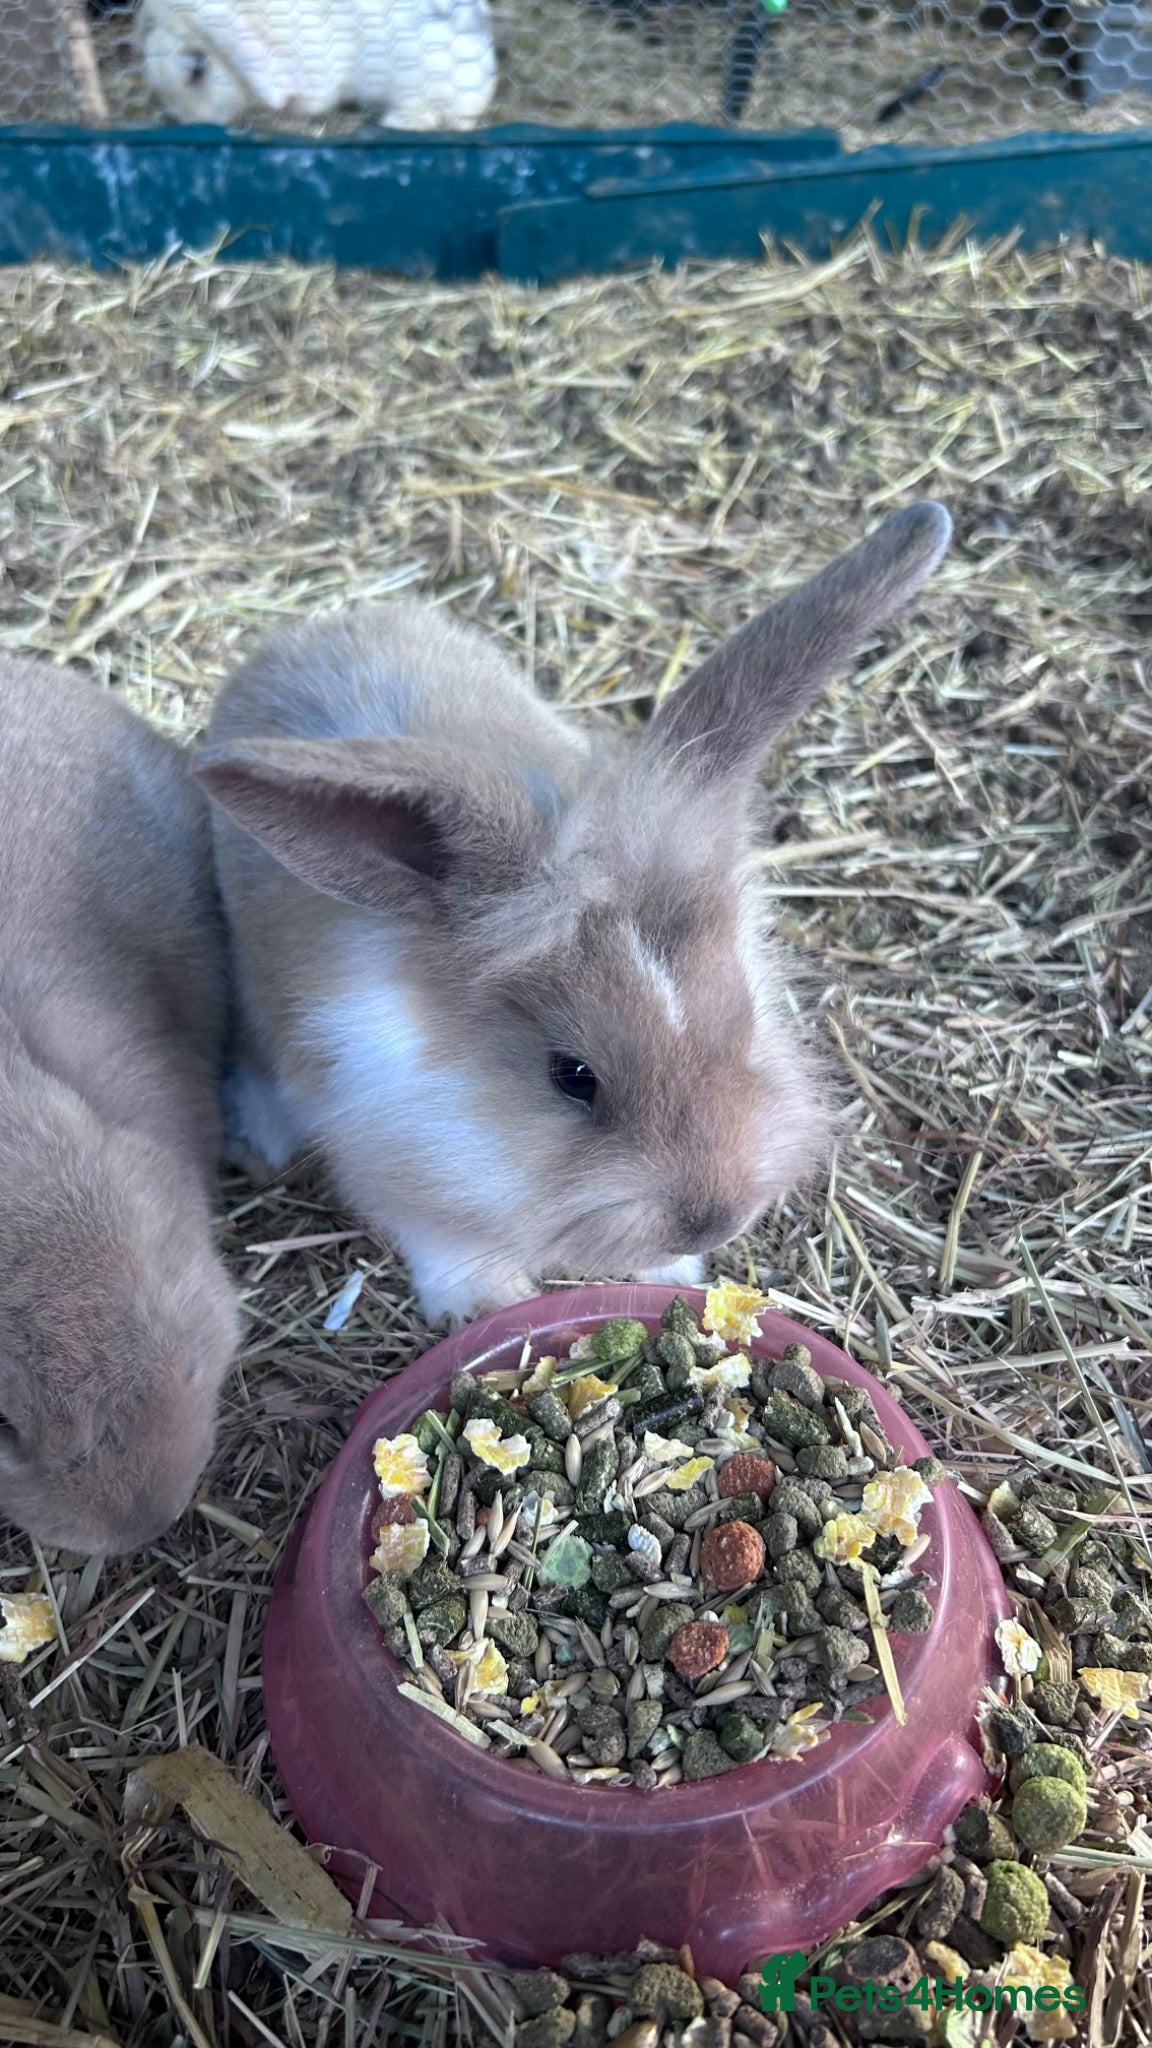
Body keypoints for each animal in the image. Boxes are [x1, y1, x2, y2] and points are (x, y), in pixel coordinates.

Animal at [193, 502, 952, 1326]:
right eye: (572, 1076)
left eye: (744, 1023)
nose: (712, 1219)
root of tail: (308, 632)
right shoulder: (392, 1160)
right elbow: (441, 1239)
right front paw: (483, 1303)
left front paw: (676, 1270)